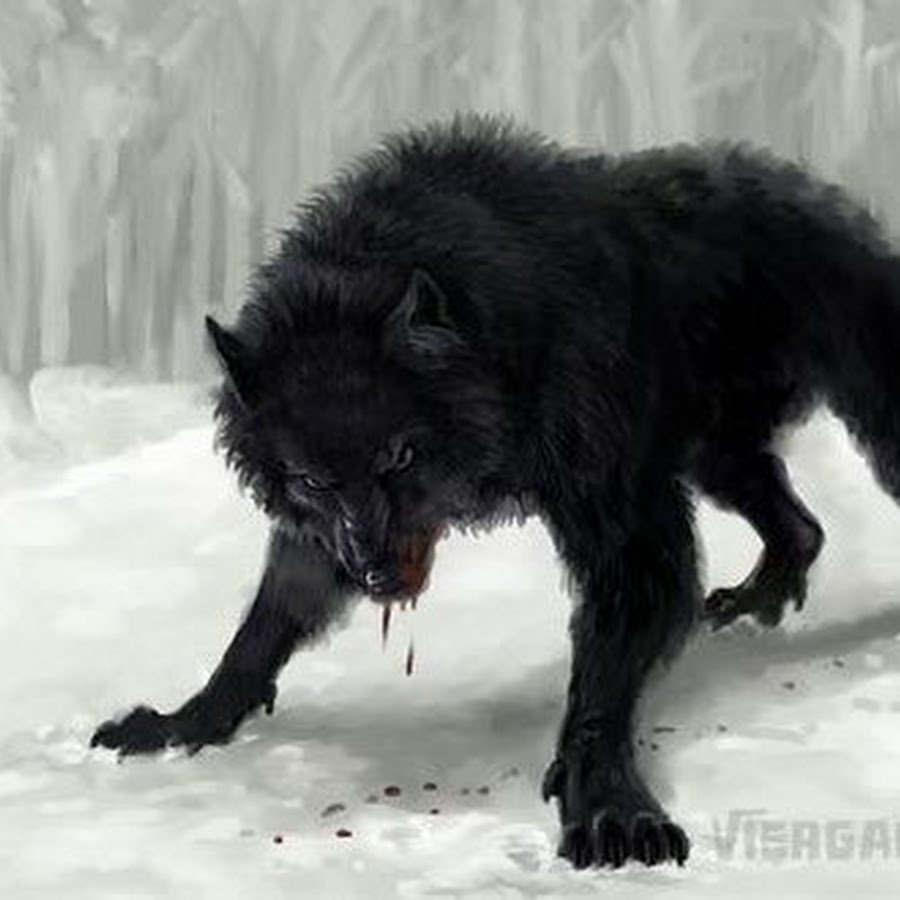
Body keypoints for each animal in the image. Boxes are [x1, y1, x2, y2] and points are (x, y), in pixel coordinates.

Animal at [91, 114, 900, 869]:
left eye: (400, 454)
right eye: (311, 479)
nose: (375, 576)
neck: (506, 325)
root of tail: (820, 192)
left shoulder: (624, 520)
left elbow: (599, 689)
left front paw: (609, 808)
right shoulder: (319, 542)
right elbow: (260, 630)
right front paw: (184, 725)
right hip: (714, 454)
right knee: (803, 525)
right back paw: (757, 600)